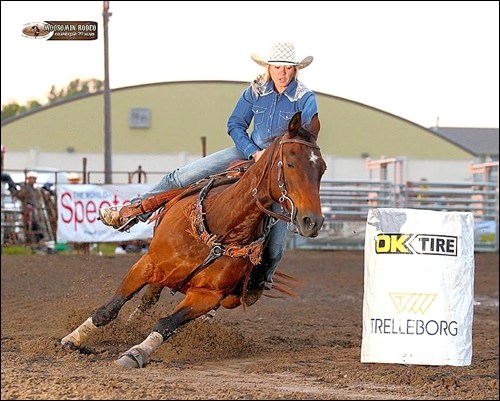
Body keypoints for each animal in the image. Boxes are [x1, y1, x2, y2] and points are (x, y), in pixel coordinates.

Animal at [60, 111, 326, 368]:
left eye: (322, 169)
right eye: (290, 163)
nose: (312, 221)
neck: (222, 226)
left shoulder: (206, 296)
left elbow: (167, 323)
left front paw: (136, 353)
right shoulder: (147, 264)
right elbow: (109, 309)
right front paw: (71, 340)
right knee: (148, 298)